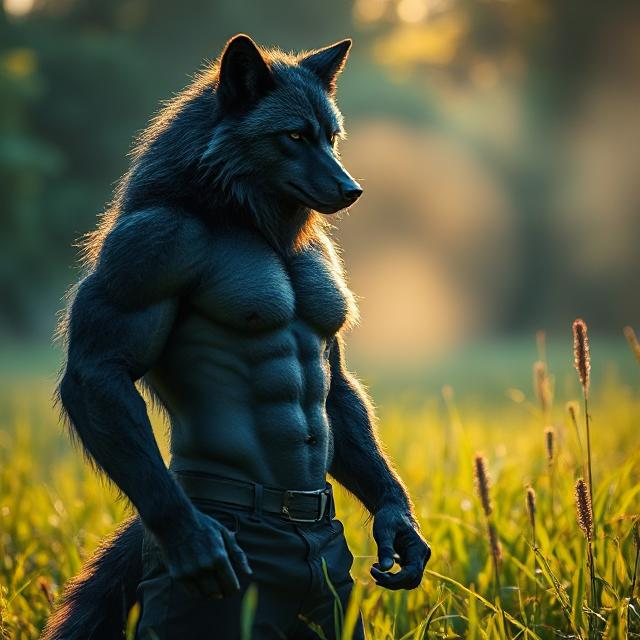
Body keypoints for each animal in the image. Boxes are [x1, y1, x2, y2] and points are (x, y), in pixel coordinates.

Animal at [42, 34, 430, 640]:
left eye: (331, 136)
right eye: (293, 136)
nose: (352, 189)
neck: (247, 217)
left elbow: (337, 382)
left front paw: (398, 523)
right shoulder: (146, 246)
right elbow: (98, 368)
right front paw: (194, 540)